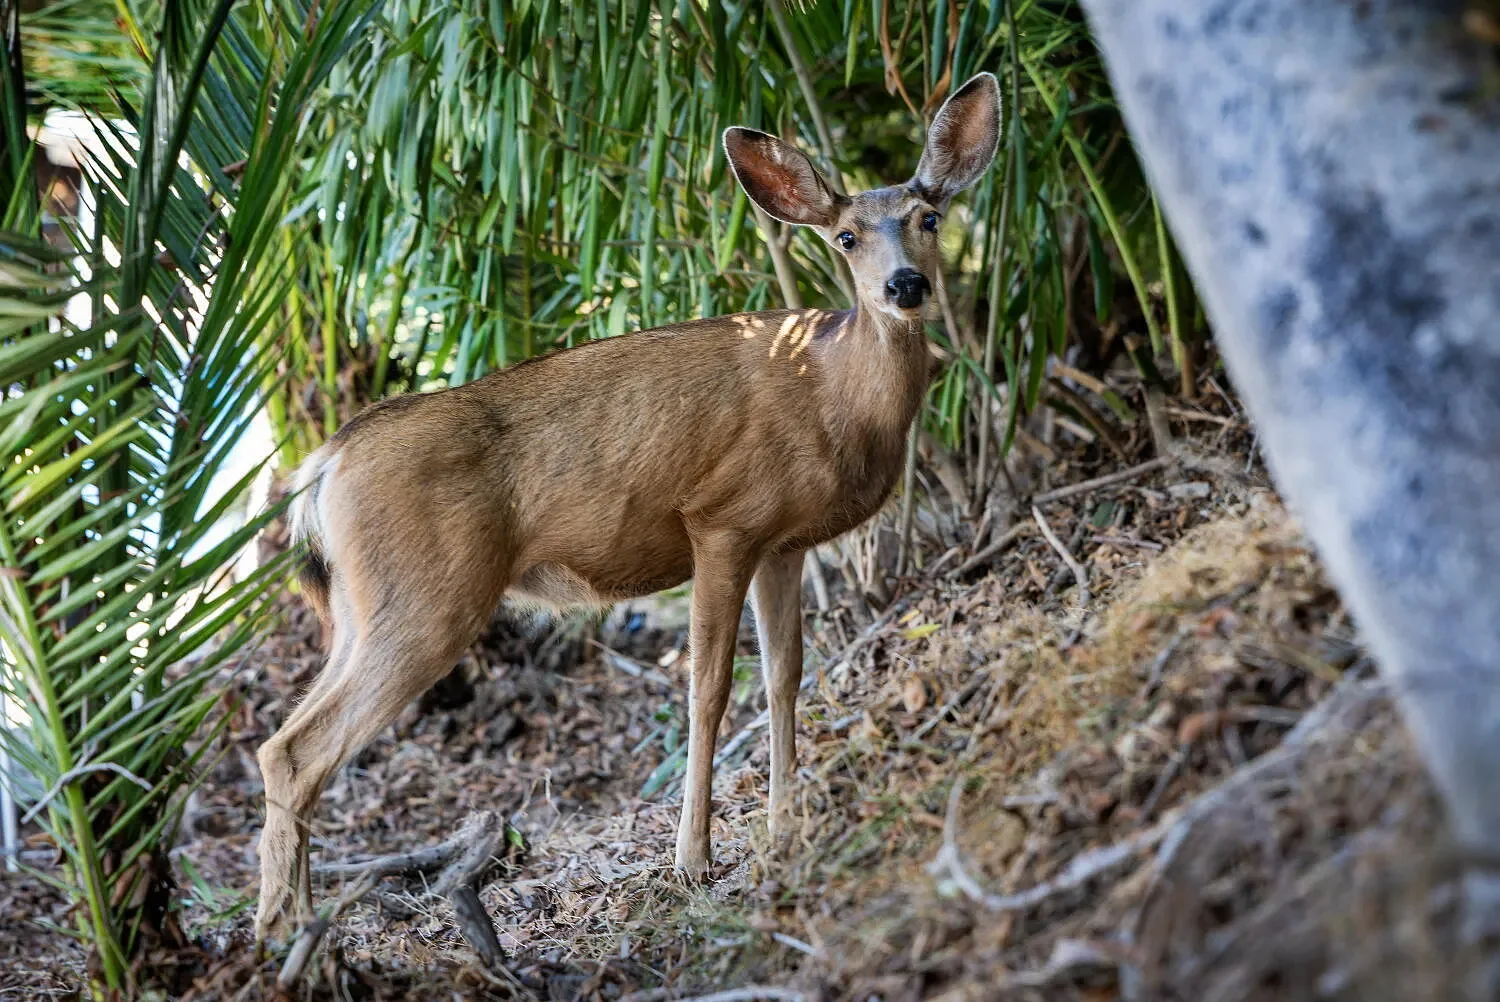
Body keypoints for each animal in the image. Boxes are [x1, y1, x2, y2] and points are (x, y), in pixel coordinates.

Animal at [253, 71, 1001, 942]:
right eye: (847, 236)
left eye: (929, 218)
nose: (904, 285)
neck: (832, 391)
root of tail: (324, 466)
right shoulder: (722, 518)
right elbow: (708, 688)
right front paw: (694, 861)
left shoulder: (784, 543)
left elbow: (785, 676)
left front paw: (785, 831)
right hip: (428, 594)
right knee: (299, 749)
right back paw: (285, 933)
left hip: (361, 604)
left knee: (282, 742)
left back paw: (291, 926)